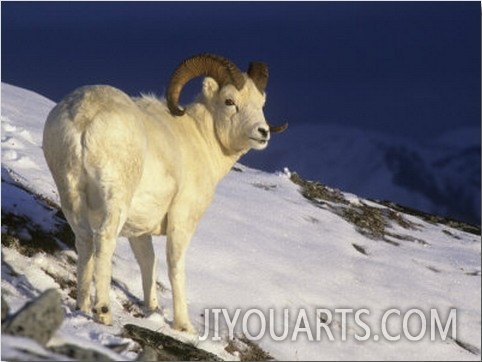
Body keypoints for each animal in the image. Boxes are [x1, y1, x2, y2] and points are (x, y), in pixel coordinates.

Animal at [41, 52, 286, 332]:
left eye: (261, 103)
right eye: (229, 101)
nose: (262, 132)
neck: (203, 139)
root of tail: (84, 116)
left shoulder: (139, 232)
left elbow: (149, 262)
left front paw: (153, 309)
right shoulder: (182, 220)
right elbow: (175, 266)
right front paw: (183, 326)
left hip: (70, 195)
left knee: (84, 241)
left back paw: (81, 306)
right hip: (115, 199)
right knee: (103, 240)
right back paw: (103, 313)